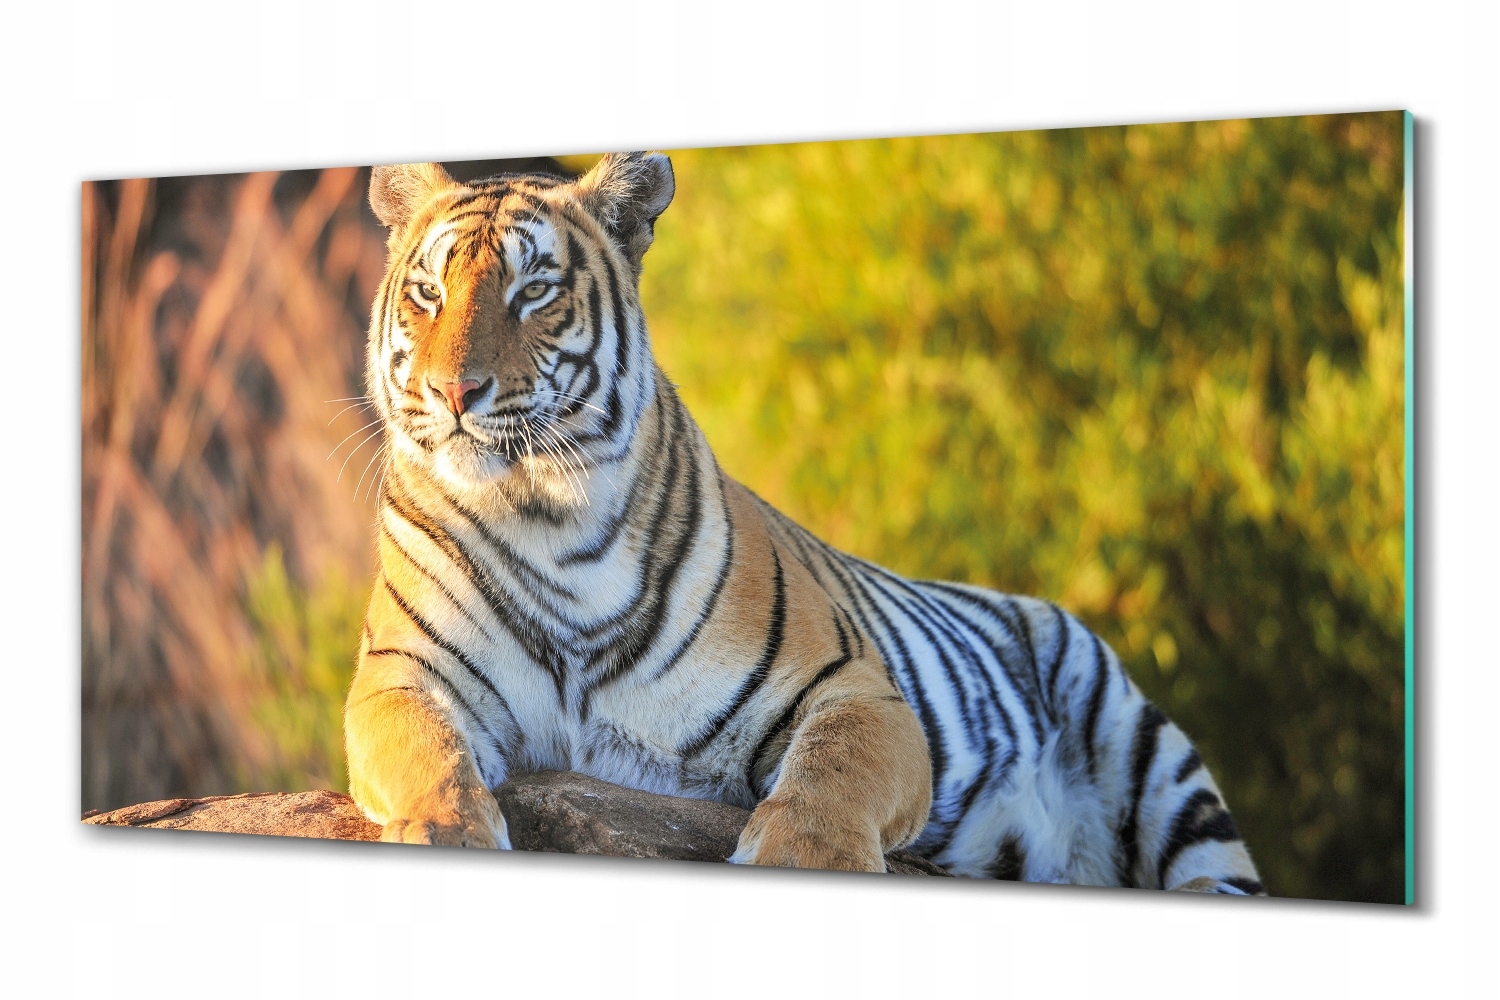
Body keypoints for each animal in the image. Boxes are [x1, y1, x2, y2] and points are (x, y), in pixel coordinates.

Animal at [344, 151, 1266, 893]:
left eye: (533, 291)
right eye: (427, 293)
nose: (453, 393)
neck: (546, 519)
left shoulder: (854, 686)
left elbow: (834, 771)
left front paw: (801, 860)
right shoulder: (401, 674)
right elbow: (425, 752)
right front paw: (444, 833)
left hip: (1149, 753)